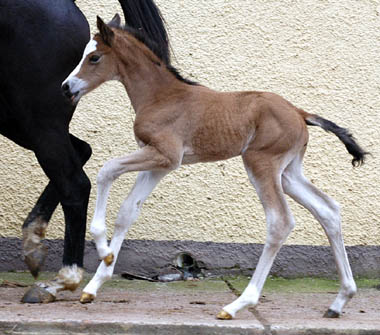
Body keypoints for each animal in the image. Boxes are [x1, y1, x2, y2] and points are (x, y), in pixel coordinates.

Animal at [60, 15, 366, 320]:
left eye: (95, 57)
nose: (66, 87)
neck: (161, 96)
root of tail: (300, 113)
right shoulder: (159, 163)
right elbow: (127, 212)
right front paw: (95, 284)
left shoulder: (165, 155)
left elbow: (106, 170)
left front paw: (102, 249)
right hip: (288, 173)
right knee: (328, 210)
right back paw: (340, 300)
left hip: (261, 163)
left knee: (280, 221)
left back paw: (238, 304)